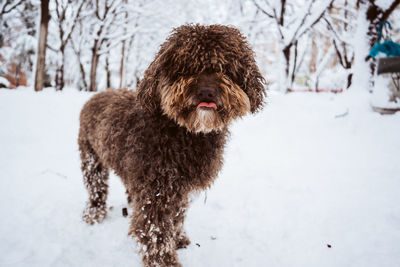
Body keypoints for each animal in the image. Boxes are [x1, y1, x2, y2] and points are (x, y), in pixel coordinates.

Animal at [78, 24, 266, 266]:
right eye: (186, 67)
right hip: (91, 158)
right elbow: (154, 232)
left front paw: (178, 239)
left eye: (224, 68)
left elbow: (176, 216)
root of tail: (97, 95)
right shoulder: (155, 191)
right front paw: (165, 261)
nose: (207, 91)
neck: (185, 133)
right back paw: (94, 213)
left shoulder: (180, 189)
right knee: (96, 189)